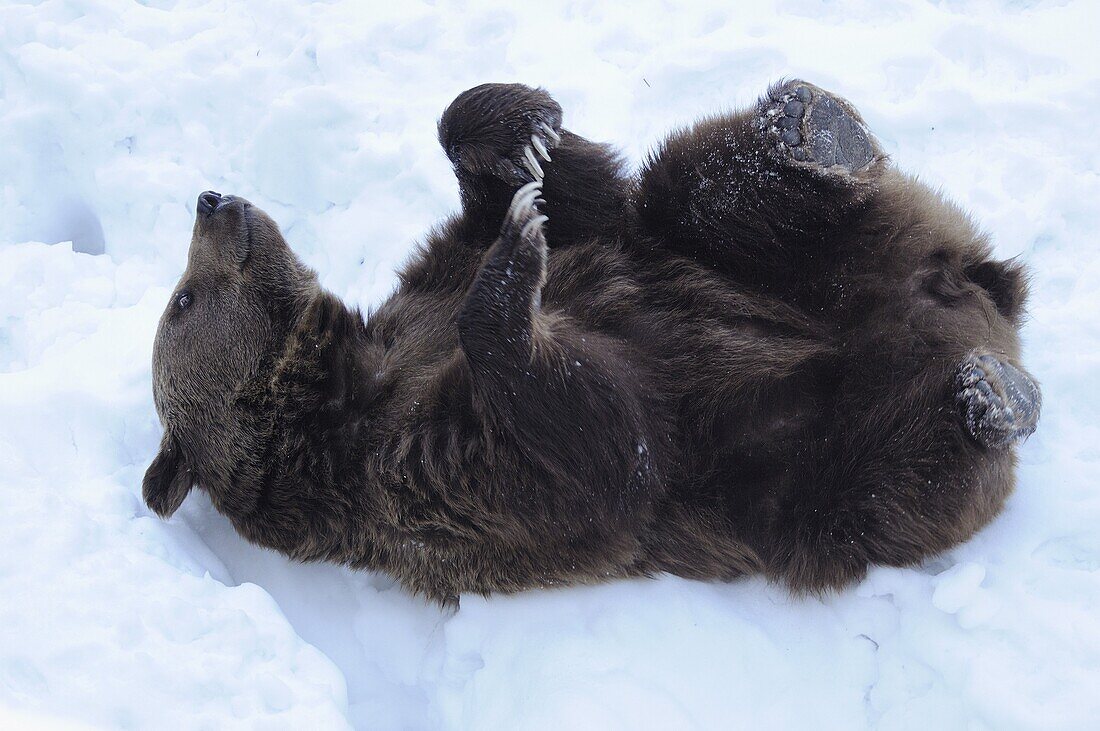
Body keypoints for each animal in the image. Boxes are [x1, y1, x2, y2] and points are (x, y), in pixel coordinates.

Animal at [144, 79, 1038, 602]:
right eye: (182, 300)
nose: (211, 198)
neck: (342, 379)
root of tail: (977, 297)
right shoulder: (420, 479)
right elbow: (610, 451)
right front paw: (513, 265)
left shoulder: (433, 281)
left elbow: (580, 206)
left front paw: (519, 136)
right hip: (814, 470)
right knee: (907, 468)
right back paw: (990, 399)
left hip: (819, 261)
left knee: (695, 187)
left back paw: (812, 127)